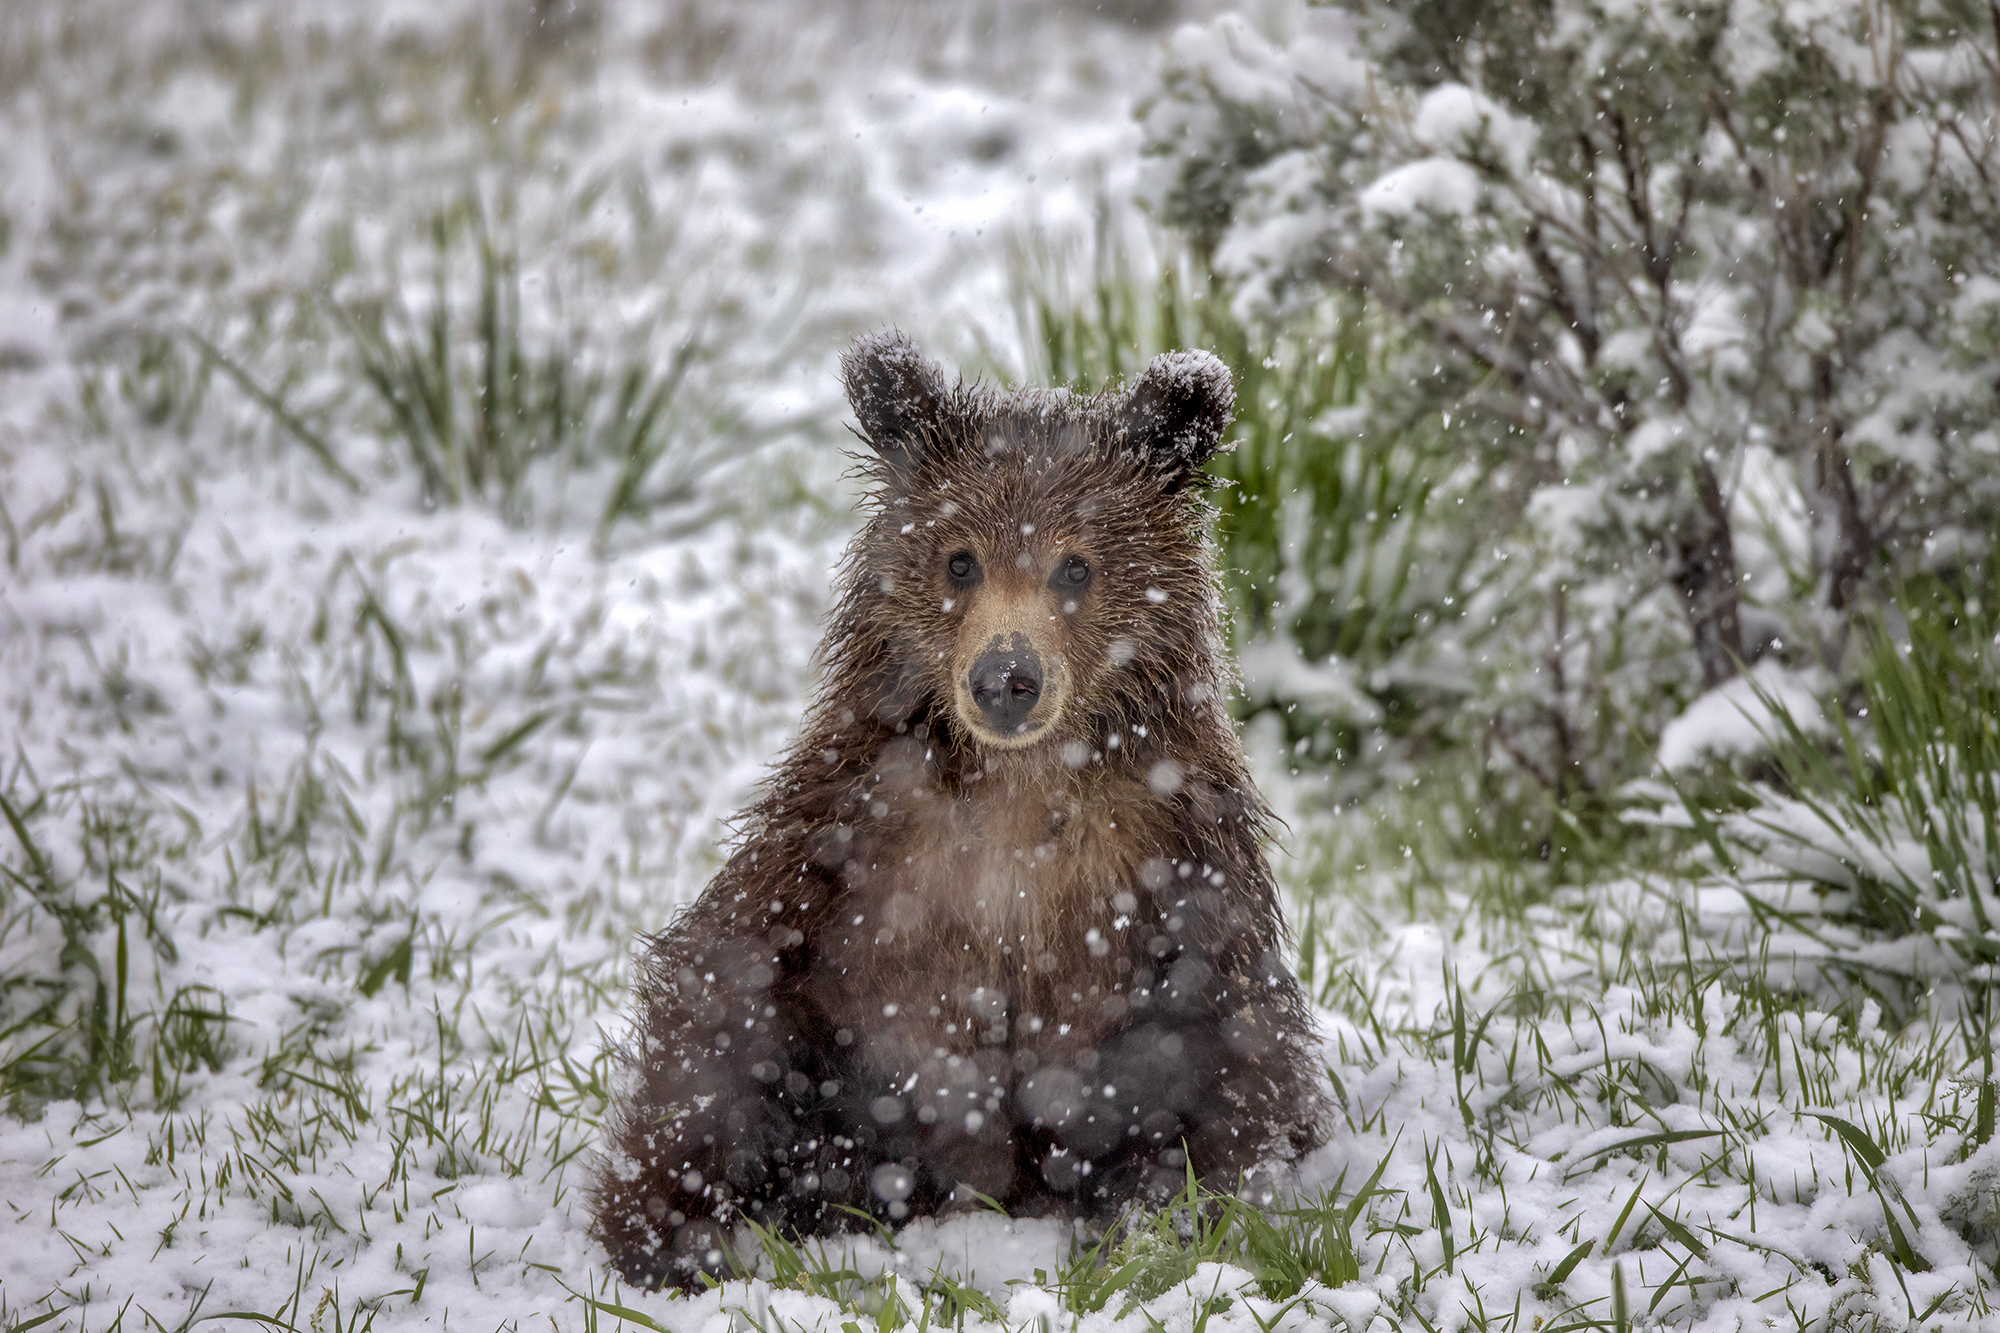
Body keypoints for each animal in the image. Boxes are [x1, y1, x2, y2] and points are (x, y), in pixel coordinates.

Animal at [592, 331, 1329, 1289]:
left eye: (1076, 563)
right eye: (960, 558)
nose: (1006, 676)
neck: (1019, 783)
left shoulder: (1175, 849)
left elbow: (1229, 1039)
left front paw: (1168, 1221)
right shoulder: (850, 820)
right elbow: (733, 988)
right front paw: (663, 1228)